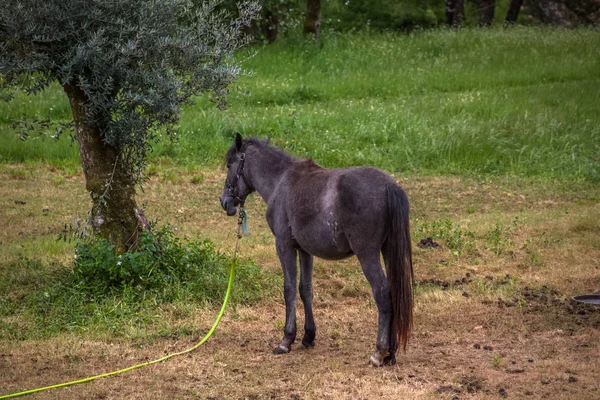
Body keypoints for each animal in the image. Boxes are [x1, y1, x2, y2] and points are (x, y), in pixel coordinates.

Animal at [220, 134, 412, 366]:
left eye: (230, 164)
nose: (224, 201)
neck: (280, 181)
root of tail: (389, 186)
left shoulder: (284, 246)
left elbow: (289, 289)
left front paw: (286, 340)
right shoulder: (305, 250)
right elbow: (305, 290)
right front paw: (308, 337)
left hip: (368, 255)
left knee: (382, 292)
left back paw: (379, 352)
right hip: (387, 251)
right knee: (393, 291)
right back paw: (391, 353)